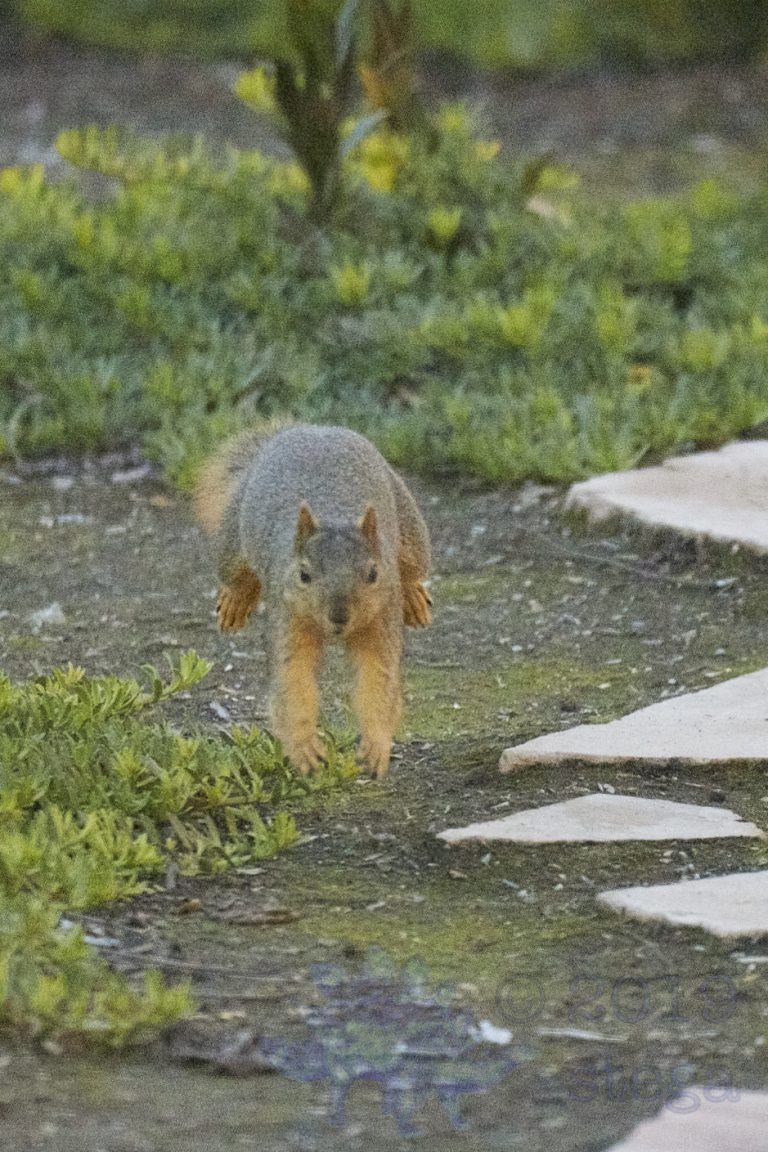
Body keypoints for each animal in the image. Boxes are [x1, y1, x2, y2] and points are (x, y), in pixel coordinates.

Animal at [194, 421, 432, 779]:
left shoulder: (382, 617)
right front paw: (305, 748)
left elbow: (379, 677)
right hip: (232, 538)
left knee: (413, 568)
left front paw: (375, 747)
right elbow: (293, 678)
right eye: (304, 575)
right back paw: (235, 601)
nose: (339, 616)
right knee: (237, 572)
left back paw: (415, 598)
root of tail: (311, 428)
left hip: (411, 528)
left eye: (373, 573)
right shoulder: (288, 617)